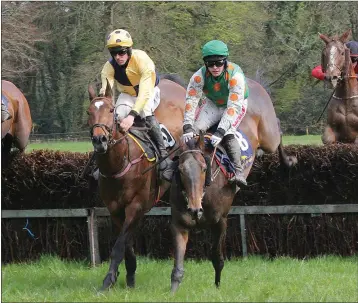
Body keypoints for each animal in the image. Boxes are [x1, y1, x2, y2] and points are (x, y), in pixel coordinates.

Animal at [88, 77, 186, 290]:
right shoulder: (116, 209)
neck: (119, 164)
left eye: (111, 110)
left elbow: (119, 245)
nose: (100, 139)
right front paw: (130, 274)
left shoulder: (135, 205)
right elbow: (126, 243)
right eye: (89, 112)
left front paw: (108, 279)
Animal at [169, 78, 298, 292]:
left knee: (277, 131)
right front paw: (173, 291)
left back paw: (288, 161)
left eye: (203, 168)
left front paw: (217, 286)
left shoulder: (220, 221)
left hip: (267, 134)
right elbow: (177, 267)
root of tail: (252, 82)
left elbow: (216, 257)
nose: (194, 209)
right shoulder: (179, 225)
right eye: (180, 170)